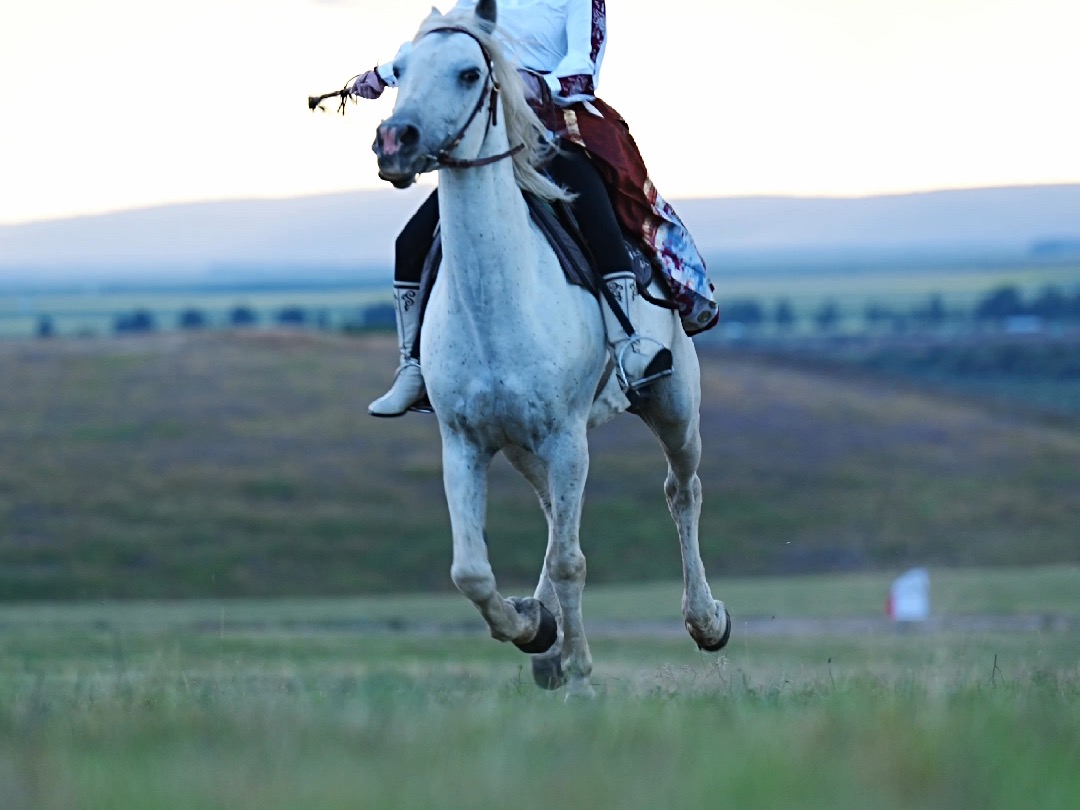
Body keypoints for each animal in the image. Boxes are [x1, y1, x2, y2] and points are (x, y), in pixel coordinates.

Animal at [369, 0, 725, 699]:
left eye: (468, 73)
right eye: (397, 69)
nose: (394, 141)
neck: (500, 301)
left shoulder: (565, 437)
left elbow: (570, 561)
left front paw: (582, 677)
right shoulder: (465, 441)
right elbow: (471, 570)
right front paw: (534, 630)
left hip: (672, 407)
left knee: (682, 490)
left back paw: (705, 621)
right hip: (524, 445)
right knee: (552, 514)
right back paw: (545, 636)